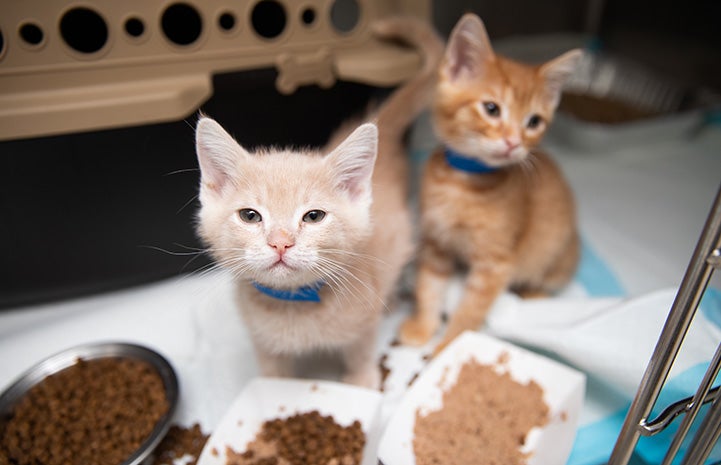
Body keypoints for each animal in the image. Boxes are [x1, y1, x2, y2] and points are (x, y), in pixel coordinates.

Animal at [194, 18, 442, 386]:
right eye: (250, 216)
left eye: (313, 216)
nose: (280, 243)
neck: (294, 304)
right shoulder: (263, 341)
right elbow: (273, 376)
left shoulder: (364, 323)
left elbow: (361, 353)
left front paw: (361, 381)